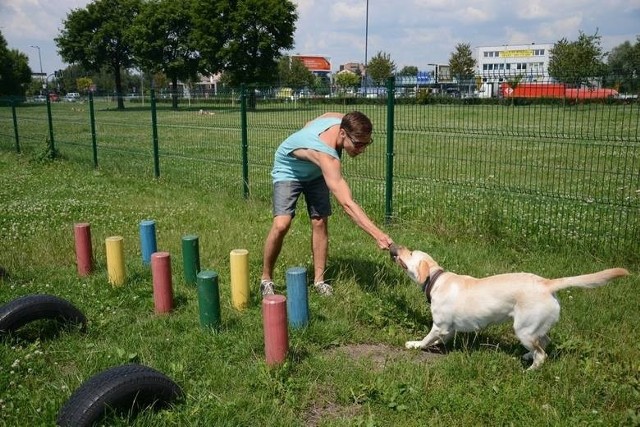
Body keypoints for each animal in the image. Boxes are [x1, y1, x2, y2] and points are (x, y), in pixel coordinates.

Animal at [390, 246, 632, 370]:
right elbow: (440, 339)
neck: (437, 278)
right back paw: (527, 356)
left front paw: (415, 344)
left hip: (523, 329)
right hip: (534, 328)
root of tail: (547, 283)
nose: (395, 247)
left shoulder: (440, 325)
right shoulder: (448, 329)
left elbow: (426, 338)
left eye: (410, 253)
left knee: (542, 354)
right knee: (544, 342)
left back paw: (530, 370)